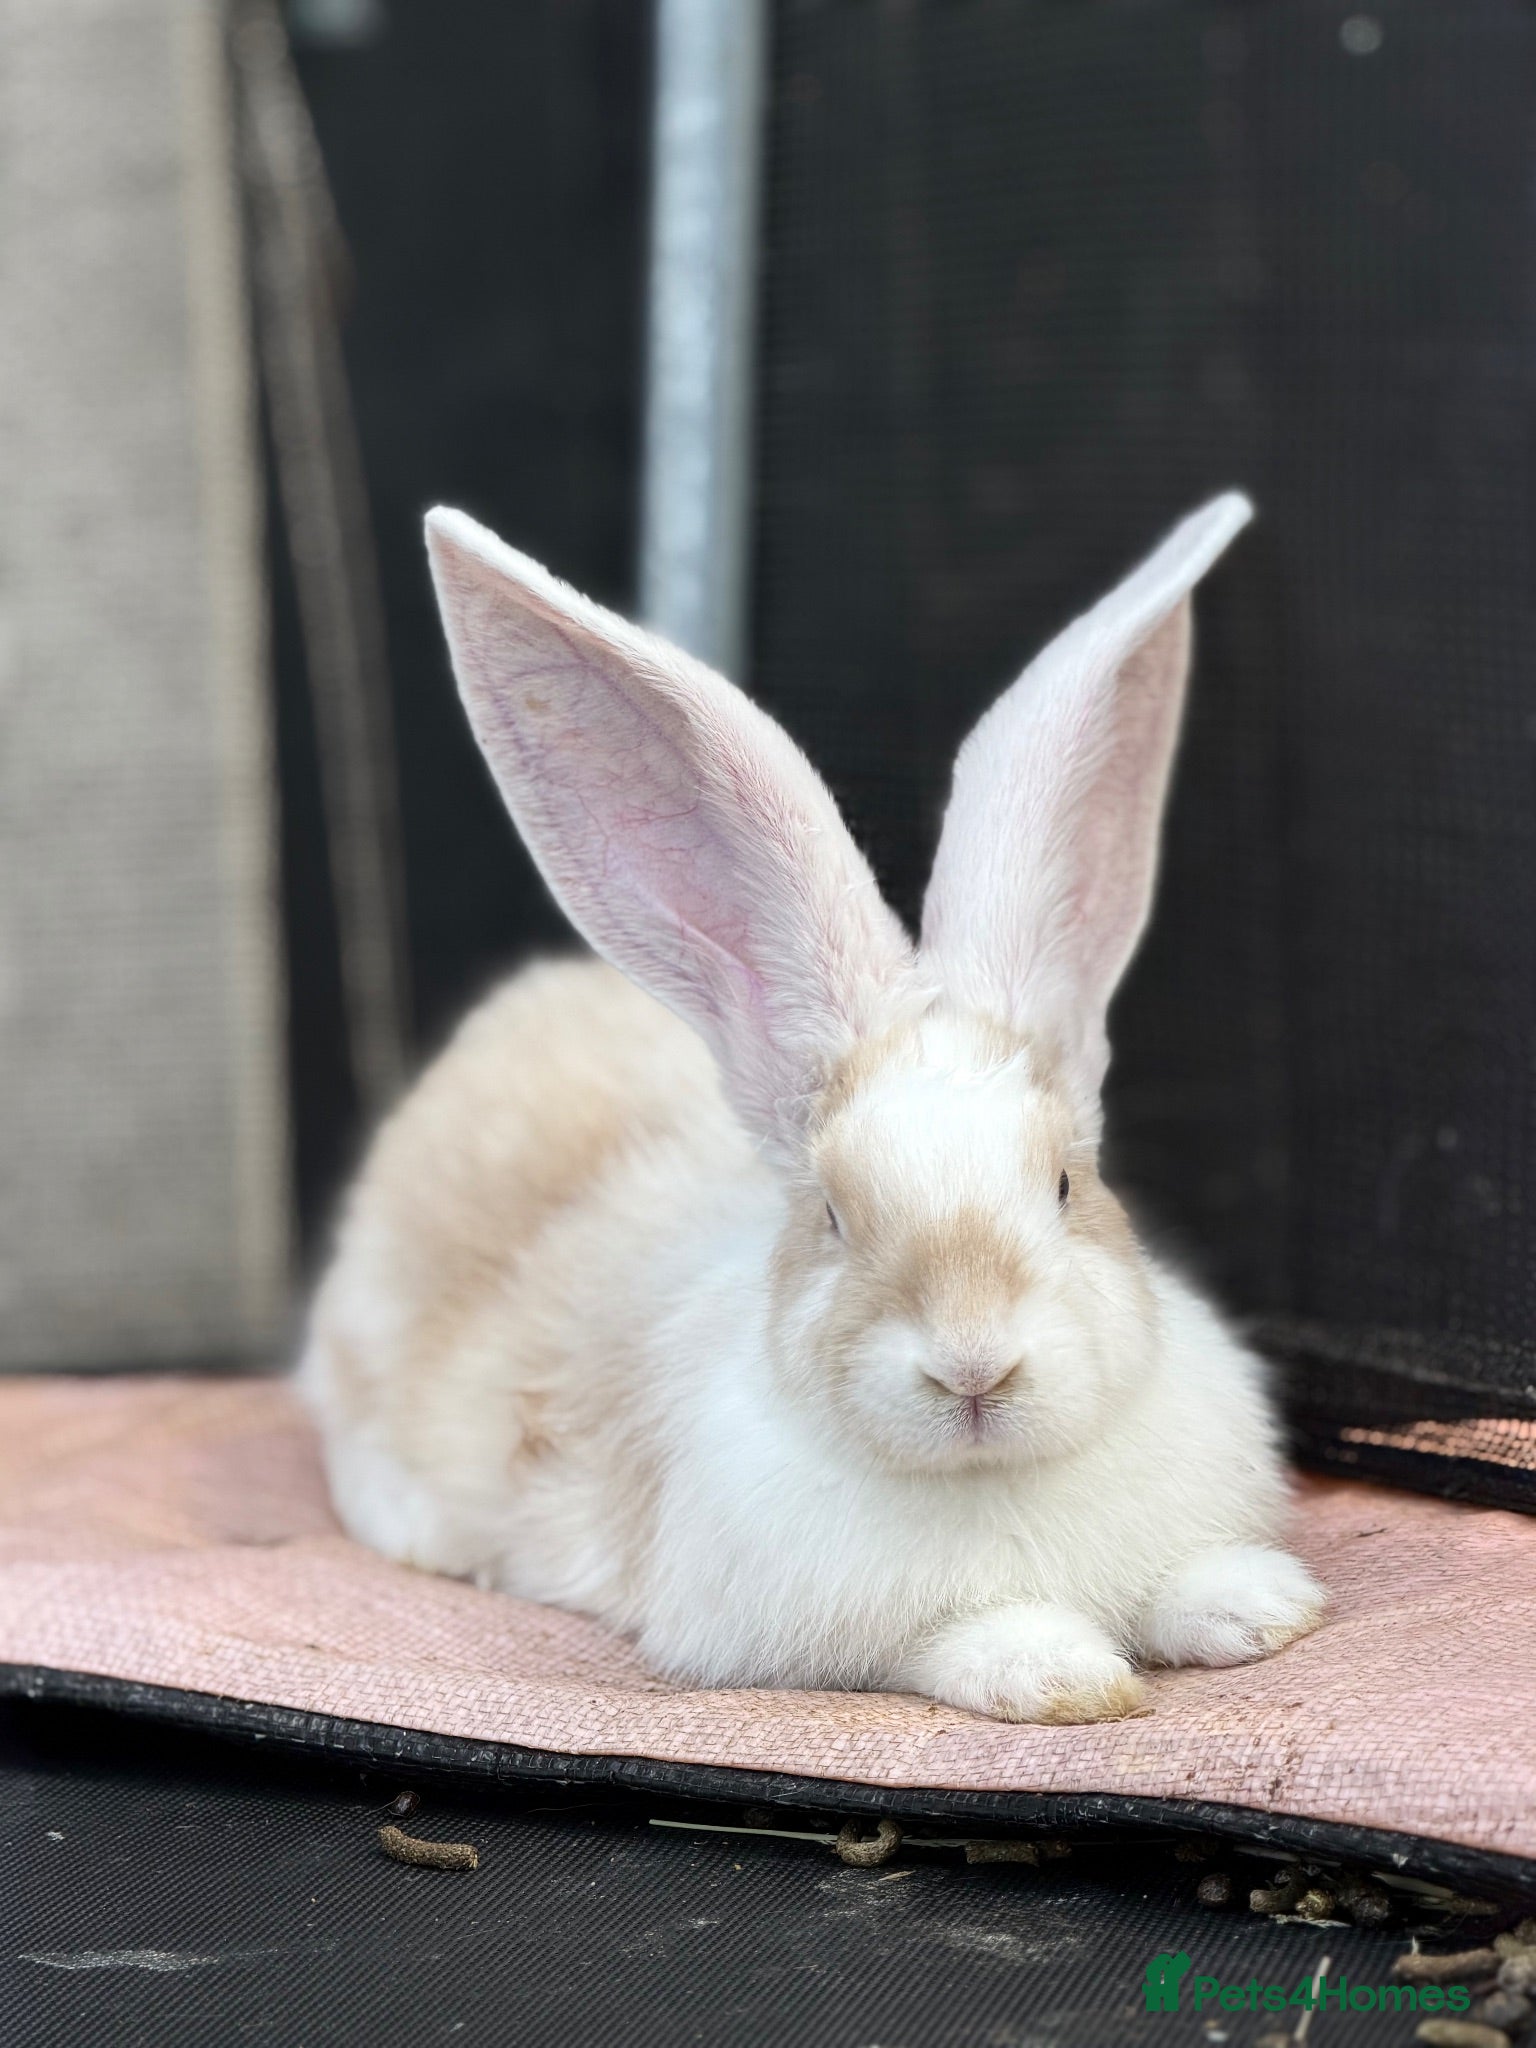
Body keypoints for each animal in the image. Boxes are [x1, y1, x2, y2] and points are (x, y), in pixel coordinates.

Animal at [299, 491, 1325, 1724]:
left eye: (1066, 1184)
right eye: (834, 1217)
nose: (974, 1368)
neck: (991, 1481)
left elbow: (1188, 1585)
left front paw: (1261, 1607)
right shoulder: (826, 1631)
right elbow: (953, 1641)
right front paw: (1060, 1673)